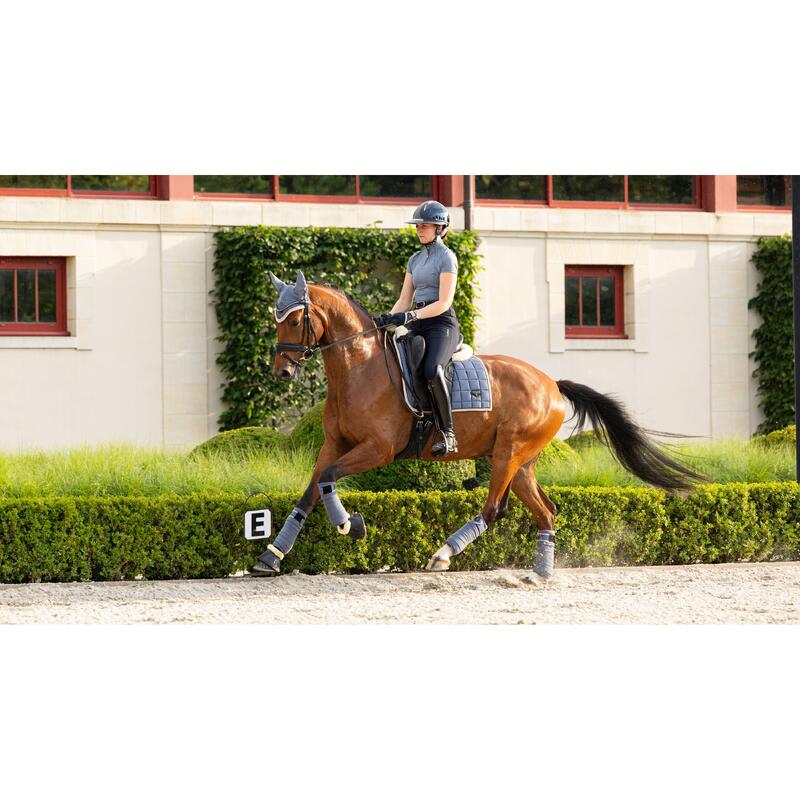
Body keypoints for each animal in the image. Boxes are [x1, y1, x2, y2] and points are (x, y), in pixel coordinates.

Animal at [252, 270, 708, 580]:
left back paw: (443, 554)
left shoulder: (377, 449)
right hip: (521, 463)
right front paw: (271, 555)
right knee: (546, 511)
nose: (282, 373)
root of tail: (551, 384)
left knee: (494, 508)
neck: (359, 366)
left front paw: (352, 525)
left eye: (295, 320)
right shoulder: (334, 444)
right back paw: (540, 573)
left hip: (509, 453)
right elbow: (312, 489)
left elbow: (328, 480)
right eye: (275, 319)